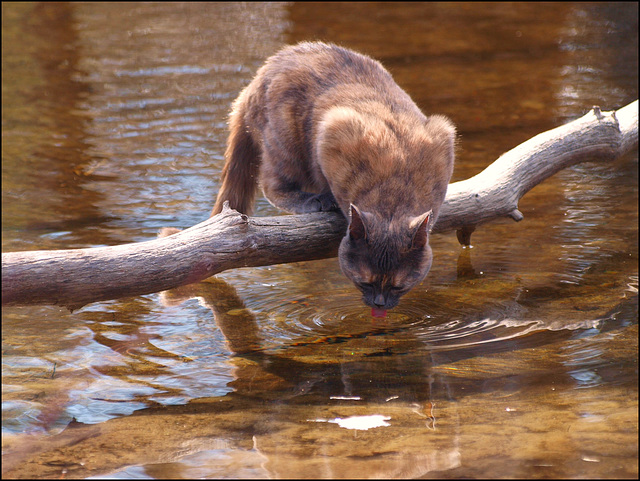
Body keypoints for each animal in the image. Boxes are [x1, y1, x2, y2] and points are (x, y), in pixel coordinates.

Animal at [211, 41, 456, 312]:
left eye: (398, 286)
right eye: (365, 282)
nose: (379, 304)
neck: (395, 192)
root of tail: (254, 83)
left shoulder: (442, 136)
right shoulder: (335, 128)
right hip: (285, 140)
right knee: (272, 184)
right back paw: (315, 199)